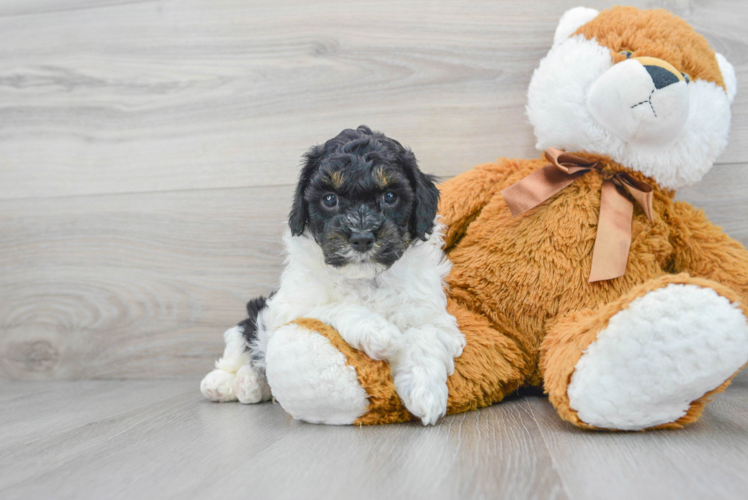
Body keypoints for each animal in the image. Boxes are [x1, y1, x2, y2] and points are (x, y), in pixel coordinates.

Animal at [202, 126, 464, 426]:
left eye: (389, 197)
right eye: (330, 199)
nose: (361, 238)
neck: (365, 279)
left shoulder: (432, 313)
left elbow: (426, 335)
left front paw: (425, 392)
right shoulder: (289, 307)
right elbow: (335, 306)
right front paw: (379, 333)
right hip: (254, 315)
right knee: (240, 346)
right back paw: (228, 383)